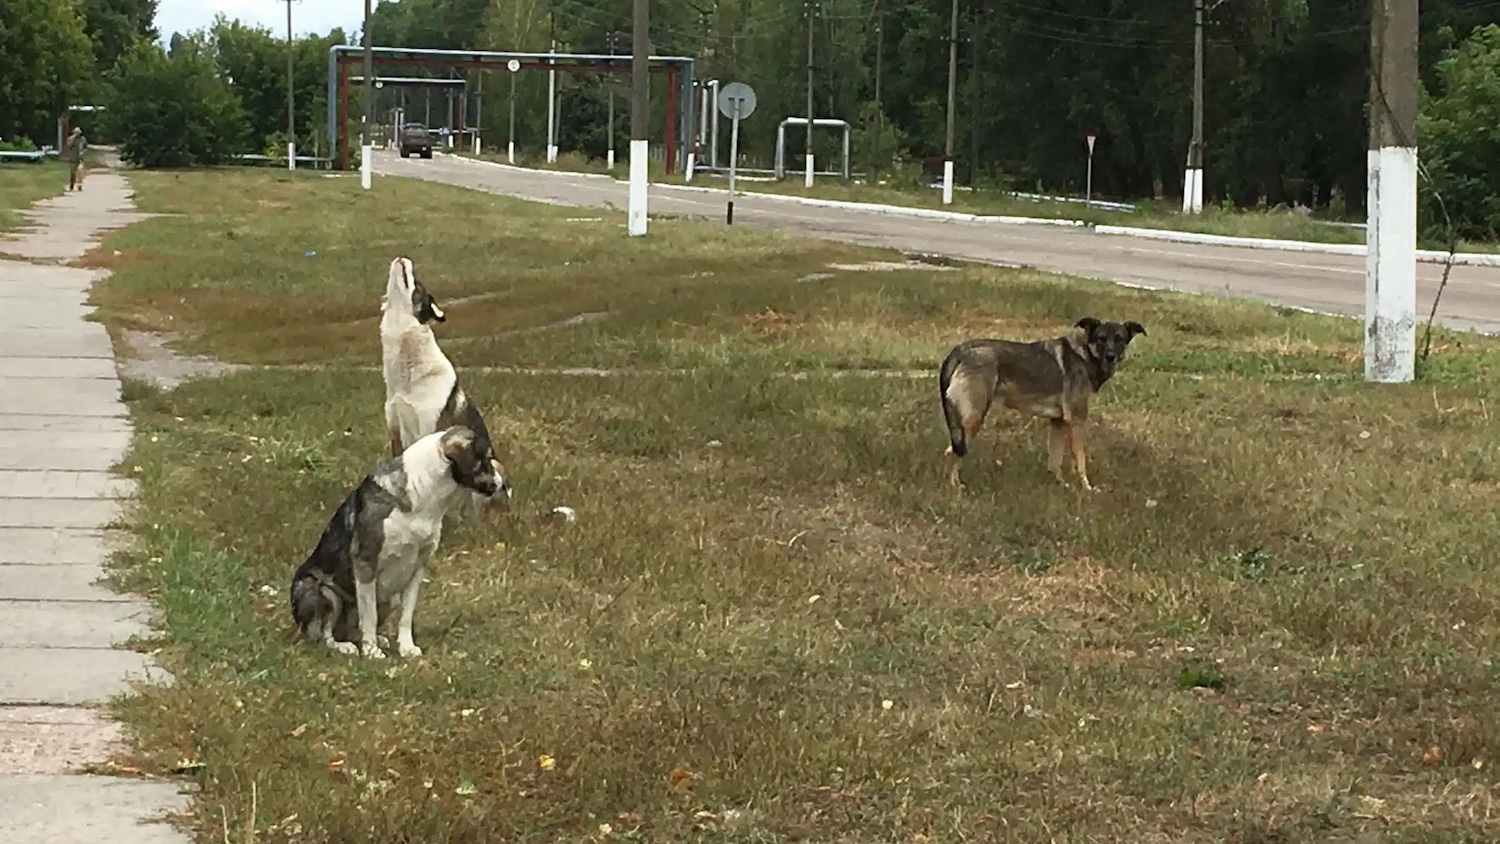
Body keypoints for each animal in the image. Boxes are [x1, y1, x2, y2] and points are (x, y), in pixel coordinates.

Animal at [289, 428, 501, 659]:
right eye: (487, 459)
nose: (502, 482)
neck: (424, 496)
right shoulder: (365, 563)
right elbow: (369, 615)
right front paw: (372, 652)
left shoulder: (418, 567)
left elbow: (406, 615)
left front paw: (406, 647)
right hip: (323, 592)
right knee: (322, 634)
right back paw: (345, 646)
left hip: (389, 598)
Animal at [378, 254, 513, 518]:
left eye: (419, 285)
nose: (402, 257)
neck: (408, 377)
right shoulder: (396, 430)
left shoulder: (430, 430)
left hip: (494, 466)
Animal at [936, 314, 1146, 488]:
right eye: (1101, 338)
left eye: (1120, 339)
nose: (1111, 357)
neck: (1085, 354)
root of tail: (959, 350)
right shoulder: (1076, 421)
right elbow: (1080, 462)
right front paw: (1086, 489)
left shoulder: (1058, 422)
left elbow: (1055, 461)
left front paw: (1061, 485)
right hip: (974, 418)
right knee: (951, 453)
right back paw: (955, 488)